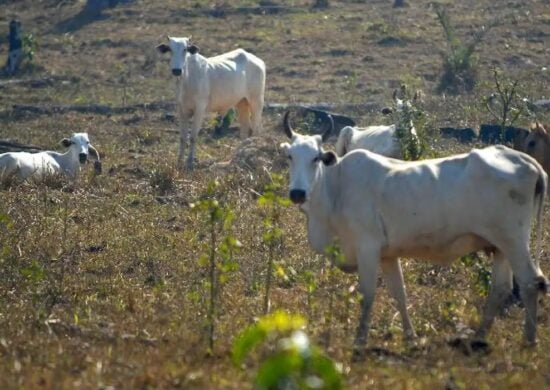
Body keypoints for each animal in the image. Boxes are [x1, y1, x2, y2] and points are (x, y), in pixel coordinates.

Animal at [282, 111, 548, 354]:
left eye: (316, 158)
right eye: (290, 156)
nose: (297, 193)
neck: (336, 187)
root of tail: (527, 161)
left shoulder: (367, 247)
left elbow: (367, 294)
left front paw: (360, 340)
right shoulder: (388, 255)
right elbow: (399, 294)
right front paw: (411, 338)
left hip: (514, 241)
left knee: (530, 282)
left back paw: (529, 339)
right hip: (500, 246)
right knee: (501, 288)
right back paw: (480, 337)